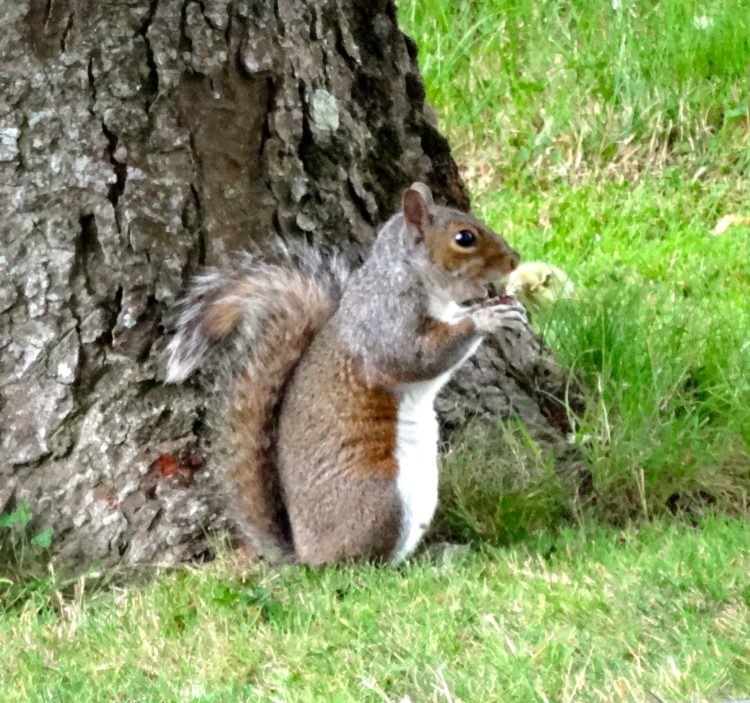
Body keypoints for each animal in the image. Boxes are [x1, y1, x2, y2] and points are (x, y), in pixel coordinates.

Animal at [167, 182, 524, 568]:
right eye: (464, 238)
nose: (515, 259)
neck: (410, 276)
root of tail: (306, 555)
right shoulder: (386, 325)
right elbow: (417, 357)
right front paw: (486, 318)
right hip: (381, 501)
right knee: (368, 565)